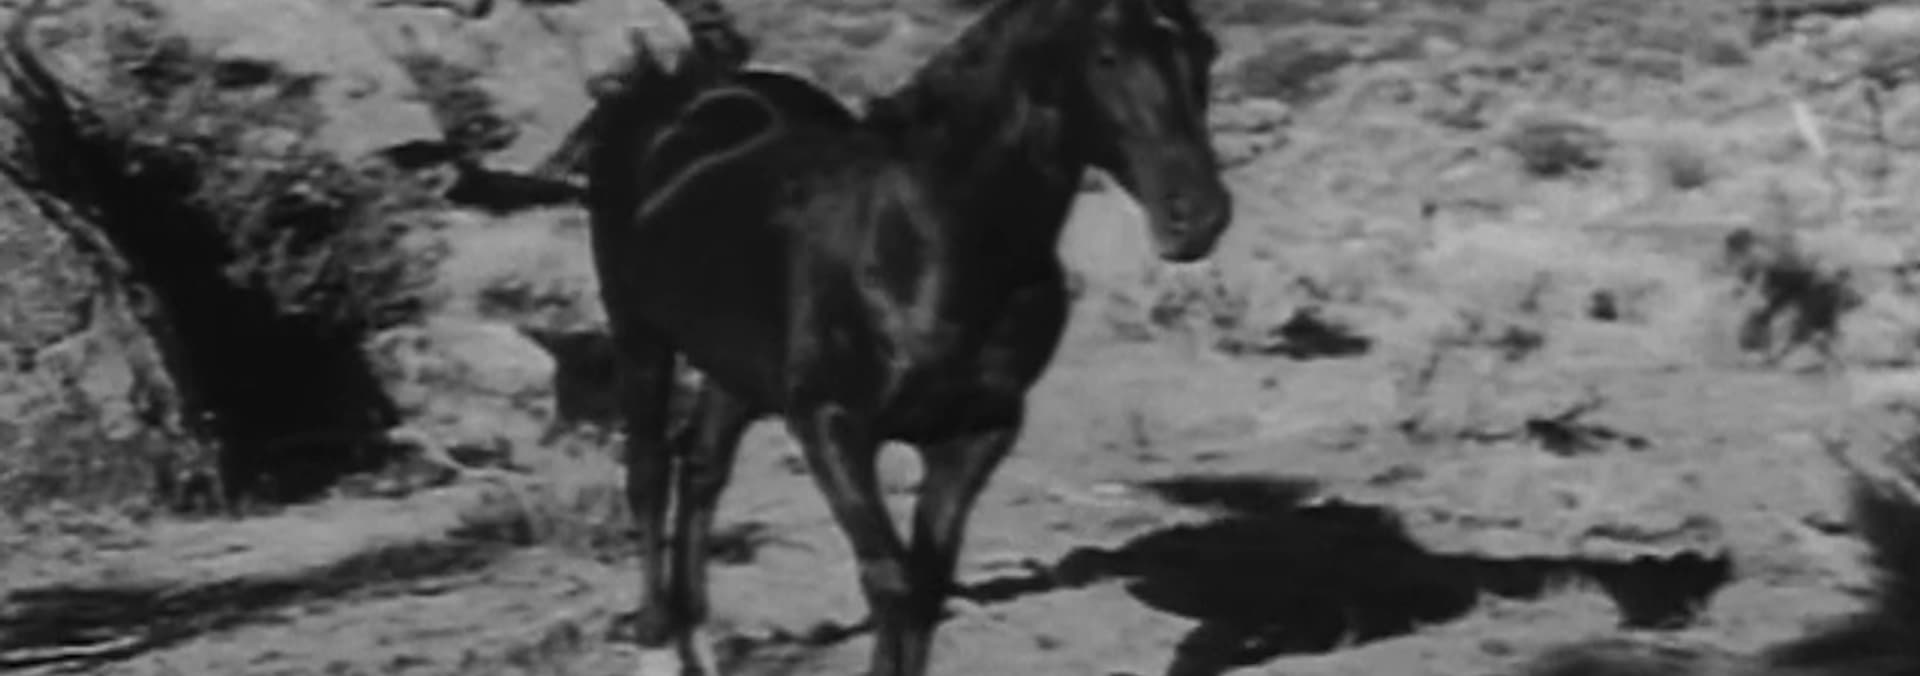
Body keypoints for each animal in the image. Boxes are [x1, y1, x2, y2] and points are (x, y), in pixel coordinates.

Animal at [577, 0, 1230, 673]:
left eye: (1205, 50)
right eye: (1107, 56)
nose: (1197, 217)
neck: (930, 241)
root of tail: (684, 97)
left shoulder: (975, 434)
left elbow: (924, 590)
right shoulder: (829, 423)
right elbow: (889, 580)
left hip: (734, 367)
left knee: (702, 469)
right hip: (638, 334)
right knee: (649, 469)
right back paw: (655, 634)